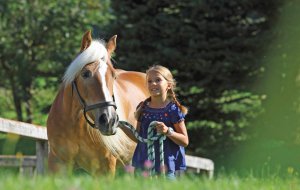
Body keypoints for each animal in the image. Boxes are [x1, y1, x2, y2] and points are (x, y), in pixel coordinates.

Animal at [47, 30, 149, 176]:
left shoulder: (104, 169)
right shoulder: (56, 165)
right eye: (85, 73)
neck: (75, 126)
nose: (109, 120)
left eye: (114, 76)